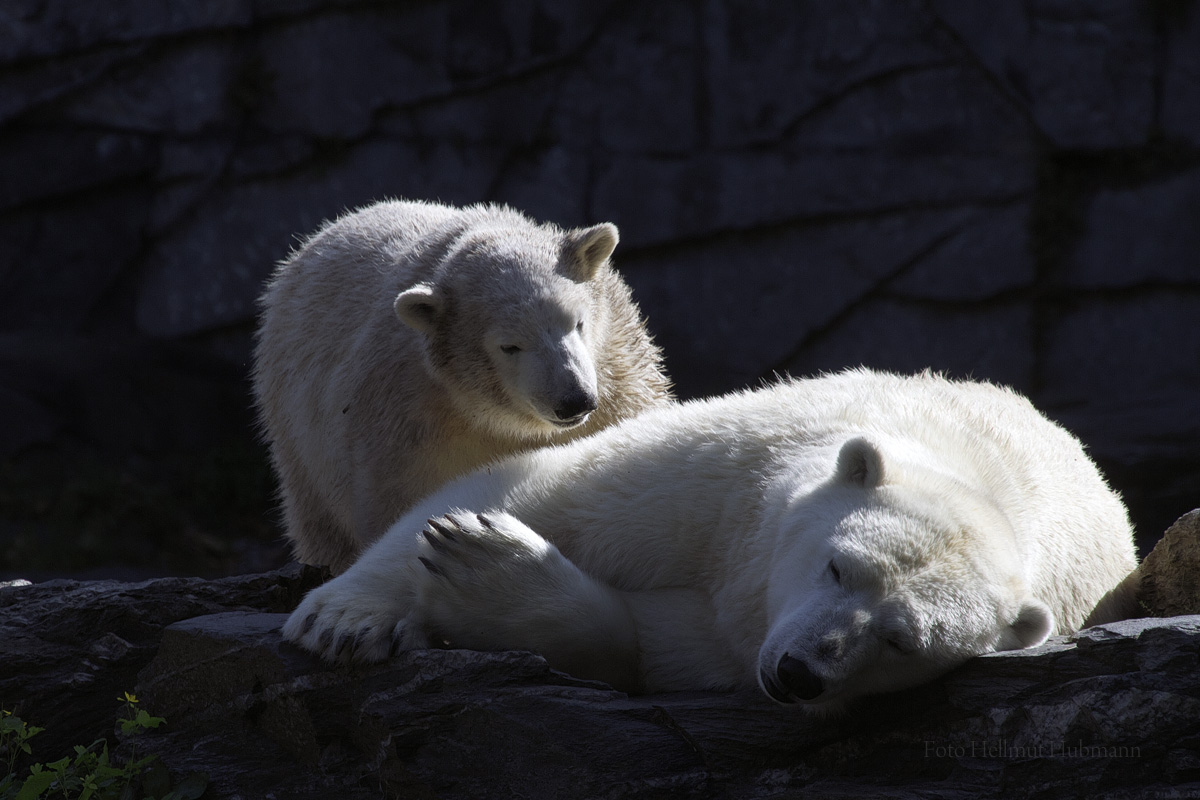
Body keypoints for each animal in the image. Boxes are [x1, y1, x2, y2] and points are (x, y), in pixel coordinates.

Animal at [252, 200, 672, 575]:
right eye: (510, 346)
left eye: (577, 322)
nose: (574, 401)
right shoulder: (402, 417)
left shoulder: (617, 374)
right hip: (296, 441)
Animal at [280, 369, 1132, 714]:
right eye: (838, 567)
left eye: (902, 641)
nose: (799, 674)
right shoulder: (730, 480)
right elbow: (549, 487)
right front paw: (346, 618)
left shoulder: (733, 642)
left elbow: (648, 647)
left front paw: (486, 571)